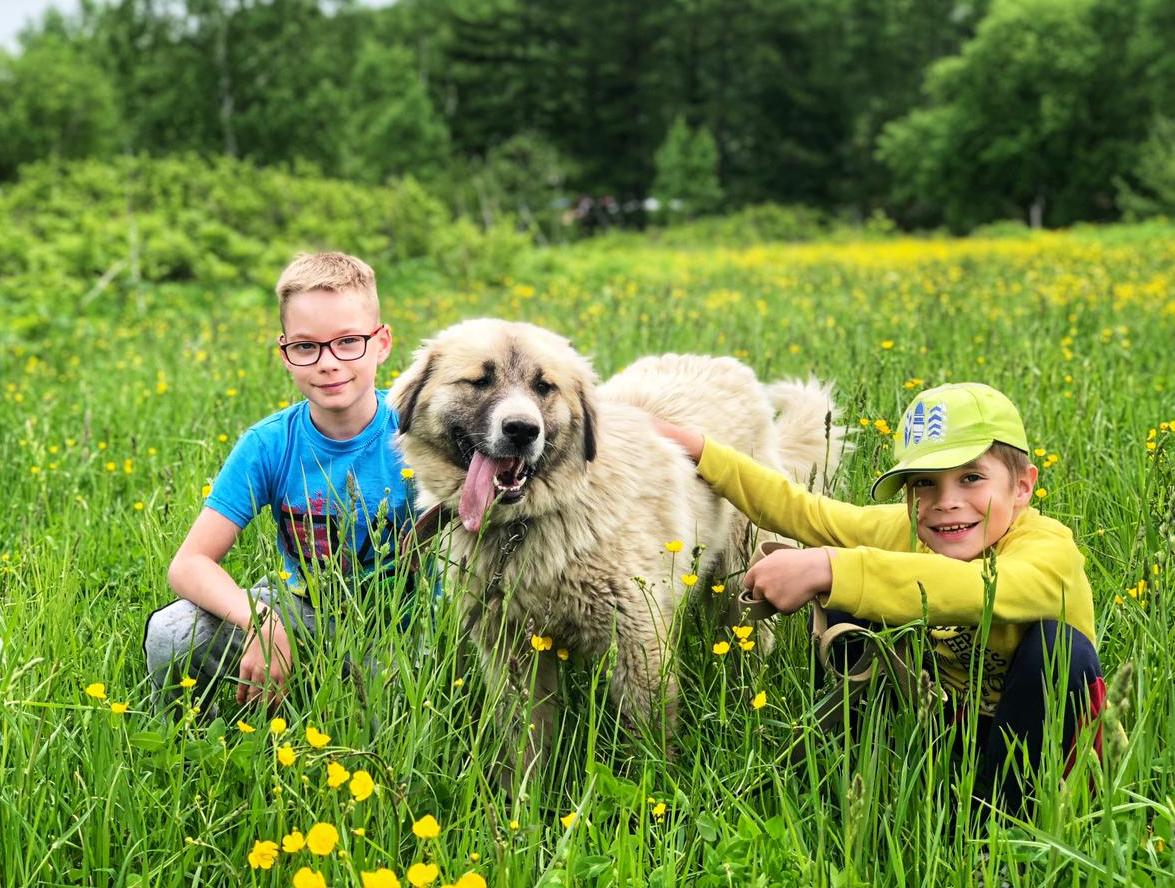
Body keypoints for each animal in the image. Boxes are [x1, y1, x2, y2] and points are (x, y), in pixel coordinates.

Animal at [392, 319, 845, 756]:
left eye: (543, 387)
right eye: (480, 381)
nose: (521, 430)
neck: (526, 523)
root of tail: (726, 366)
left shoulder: (637, 640)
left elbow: (648, 740)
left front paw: (654, 778)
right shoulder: (514, 655)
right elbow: (526, 743)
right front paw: (525, 784)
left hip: (741, 585)